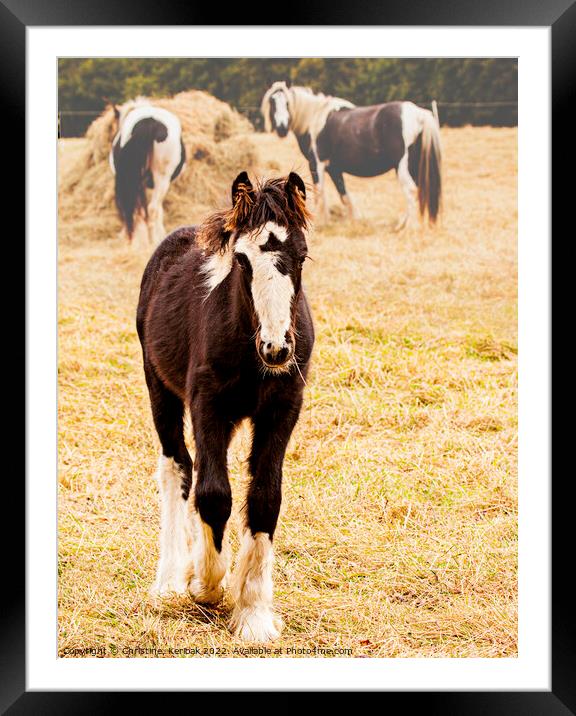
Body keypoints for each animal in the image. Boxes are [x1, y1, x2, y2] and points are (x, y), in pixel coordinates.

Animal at [136, 171, 316, 640]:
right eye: (242, 260)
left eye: (302, 256)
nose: (276, 348)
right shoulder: (208, 404)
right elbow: (214, 493)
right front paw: (205, 584)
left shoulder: (282, 409)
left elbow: (265, 496)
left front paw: (254, 613)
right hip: (159, 387)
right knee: (178, 466)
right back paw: (170, 579)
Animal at [260, 83, 440, 231]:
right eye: (273, 103)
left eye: (287, 103)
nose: (281, 128)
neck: (315, 118)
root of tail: (419, 114)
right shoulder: (334, 169)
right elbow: (344, 195)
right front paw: (354, 220)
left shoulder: (316, 164)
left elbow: (319, 193)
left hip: (403, 167)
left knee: (410, 190)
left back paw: (409, 227)